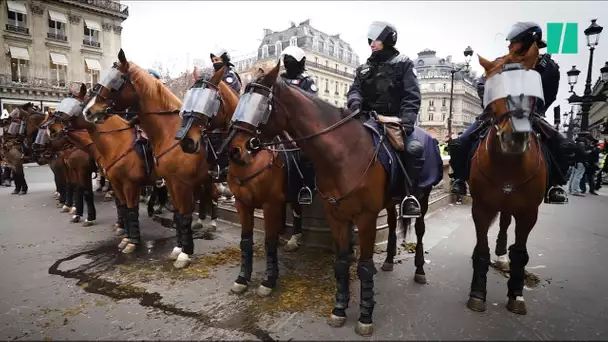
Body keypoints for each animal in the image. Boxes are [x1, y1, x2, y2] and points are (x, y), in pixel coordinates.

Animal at [83, 48, 210, 268]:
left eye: (115, 81)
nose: (88, 111)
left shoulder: (173, 183)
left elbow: (178, 213)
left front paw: (184, 253)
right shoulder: (166, 181)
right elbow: (173, 214)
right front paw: (177, 248)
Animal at [226, 62, 444, 336]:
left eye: (262, 105)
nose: (234, 150)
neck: (345, 154)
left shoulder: (365, 218)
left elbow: (364, 267)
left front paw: (365, 316)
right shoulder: (335, 215)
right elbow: (339, 263)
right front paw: (339, 308)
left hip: (422, 197)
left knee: (420, 230)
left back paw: (419, 270)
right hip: (389, 202)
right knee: (394, 223)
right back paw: (389, 260)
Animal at [466, 43, 548, 316]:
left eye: (532, 87)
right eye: (494, 88)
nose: (516, 137)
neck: (508, 166)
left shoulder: (529, 212)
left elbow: (520, 254)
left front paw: (517, 294)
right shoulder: (481, 207)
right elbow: (481, 249)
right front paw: (477, 293)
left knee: (505, 224)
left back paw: (503, 258)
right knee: (502, 222)